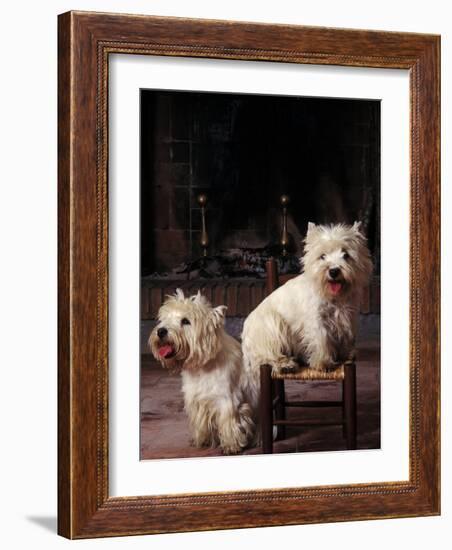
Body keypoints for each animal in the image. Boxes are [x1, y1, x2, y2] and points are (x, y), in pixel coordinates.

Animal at [242, 222, 372, 408]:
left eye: (346, 255)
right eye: (322, 256)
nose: (333, 271)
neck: (333, 297)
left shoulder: (347, 316)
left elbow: (345, 336)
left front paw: (347, 354)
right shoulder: (316, 320)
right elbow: (322, 338)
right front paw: (324, 362)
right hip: (271, 326)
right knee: (267, 356)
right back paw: (286, 365)